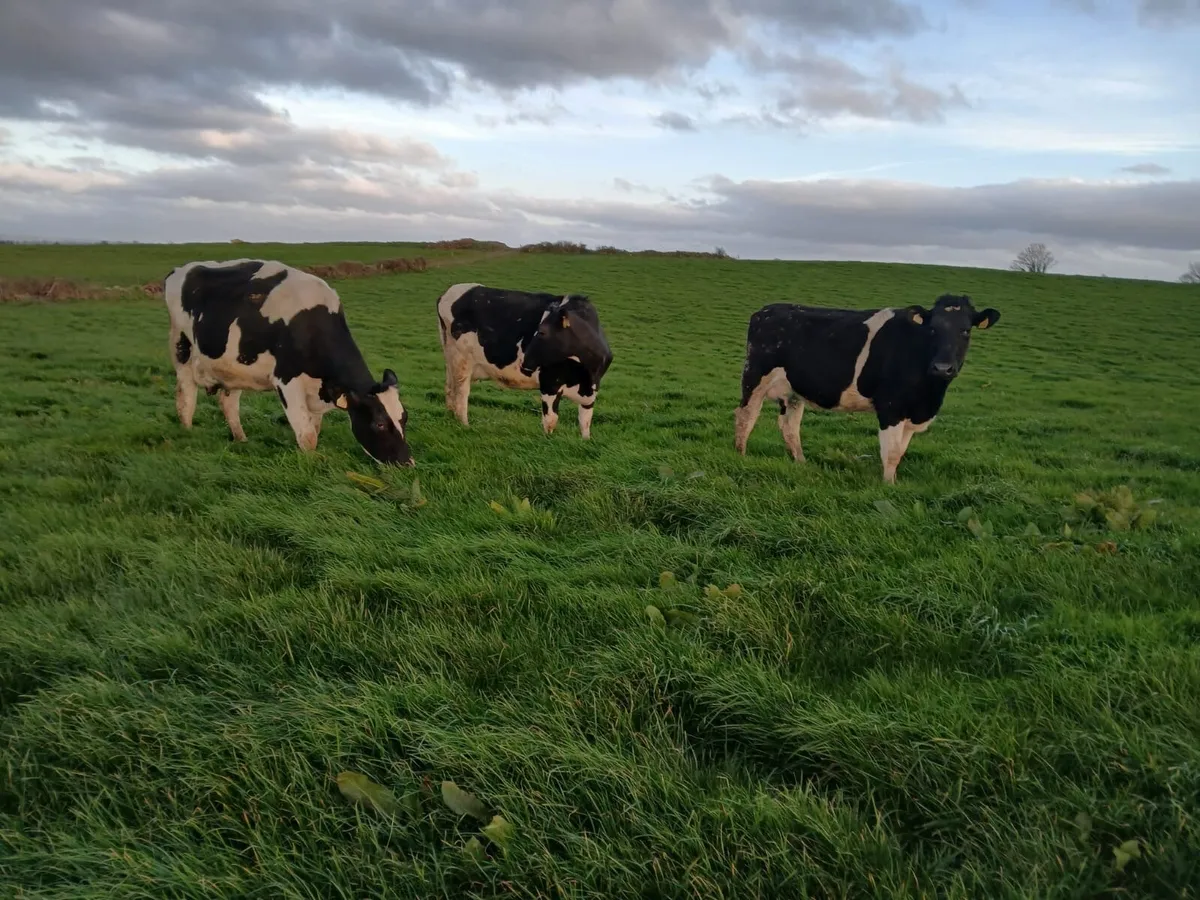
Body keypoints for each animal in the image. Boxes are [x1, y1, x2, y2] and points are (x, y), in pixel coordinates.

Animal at [163, 258, 414, 466]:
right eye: (379, 423)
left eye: (404, 417)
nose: (408, 463)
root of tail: (181, 269)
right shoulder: (287, 380)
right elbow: (308, 435)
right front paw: (311, 464)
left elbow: (315, 428)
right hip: (181, 349)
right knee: (186, 398)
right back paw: (187, 433)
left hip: (232, 367)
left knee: (229, 404)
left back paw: (241, 439)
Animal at [436, 282, 613, 438]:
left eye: (541, 332)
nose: (524, 362)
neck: (586, 374)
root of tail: (449, 292)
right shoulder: (549, 383)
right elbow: (551, 420)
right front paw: (548, 441)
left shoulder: (591, 393)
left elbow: (585, 422)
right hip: (461, 359)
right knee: (461, 392)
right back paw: (464, 424)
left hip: (450, 358)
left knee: (449, 387)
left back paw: (451, 417)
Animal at [733, 293, 1000, 483]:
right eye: (932, 328)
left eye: (965, 331)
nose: (943, 368)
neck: (928, 396)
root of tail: (766, 310)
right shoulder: (891, 407)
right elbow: (891, 452)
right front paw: (888, 486)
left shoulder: (912, 410)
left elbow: (901, 452)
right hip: (754, 376)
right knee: (746, 415)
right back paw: (741, 455)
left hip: (794, 391)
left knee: (789, 426)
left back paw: (801, 462)